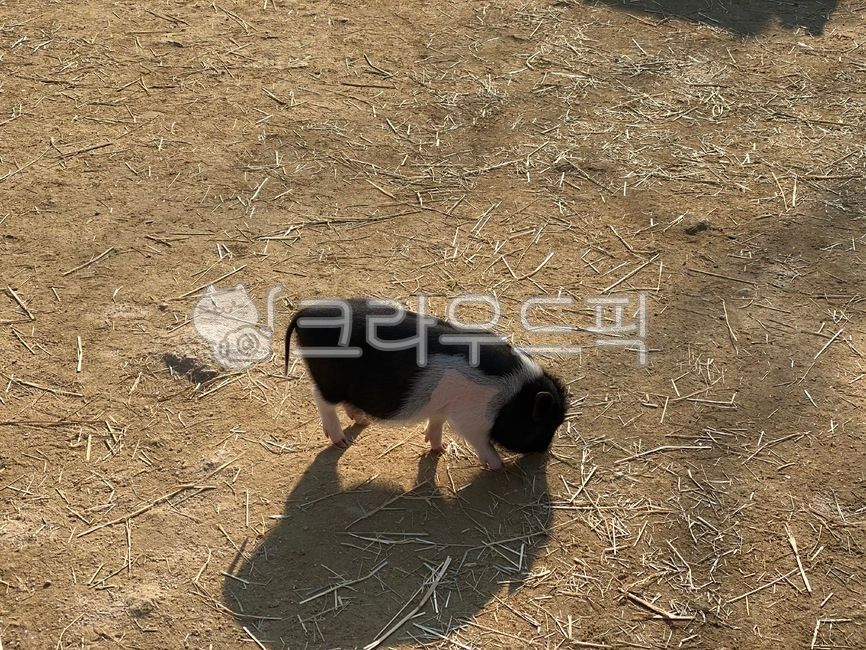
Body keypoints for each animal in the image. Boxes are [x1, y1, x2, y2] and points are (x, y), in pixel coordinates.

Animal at [284, 298, 567, 470]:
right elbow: (479, 441)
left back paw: (362, 421)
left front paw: (440, 450)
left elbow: (437, 422)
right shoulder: (472, 420)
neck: (512, 396)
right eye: (542, 423)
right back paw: (340, 441)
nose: (544, 450)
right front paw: (498, 467)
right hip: (329, 380)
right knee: (321, 399)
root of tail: (306, 313)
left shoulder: (443, 406)